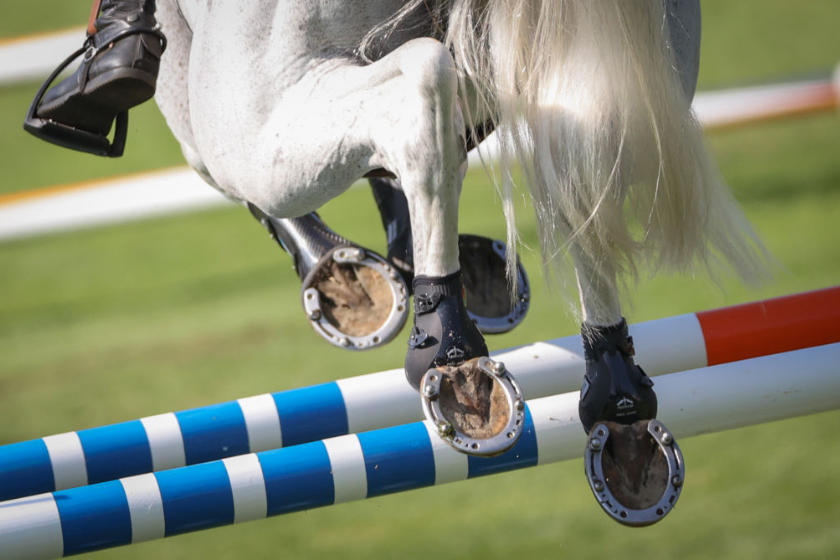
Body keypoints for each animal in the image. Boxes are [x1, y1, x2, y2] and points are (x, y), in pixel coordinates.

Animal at [153, 0, 768, 524]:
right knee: (587, 144)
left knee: (420, 88)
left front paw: (343, 270)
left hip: (256, 122)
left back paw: (449, 349)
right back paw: (618, 401)